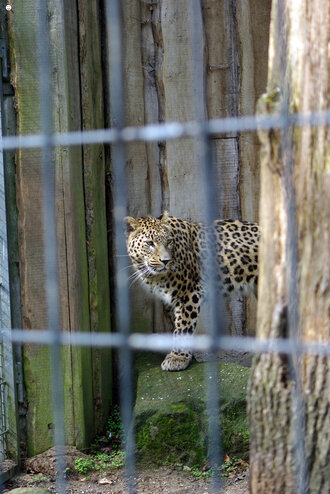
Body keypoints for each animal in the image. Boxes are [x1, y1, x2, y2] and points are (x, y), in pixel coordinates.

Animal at [125, 211, 260, 370]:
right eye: (150, 243)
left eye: (168, 241)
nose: (165, 261)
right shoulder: (171, 300)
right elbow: (176, 324)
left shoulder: (188, 294)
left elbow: (184, 326)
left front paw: (177, 358)